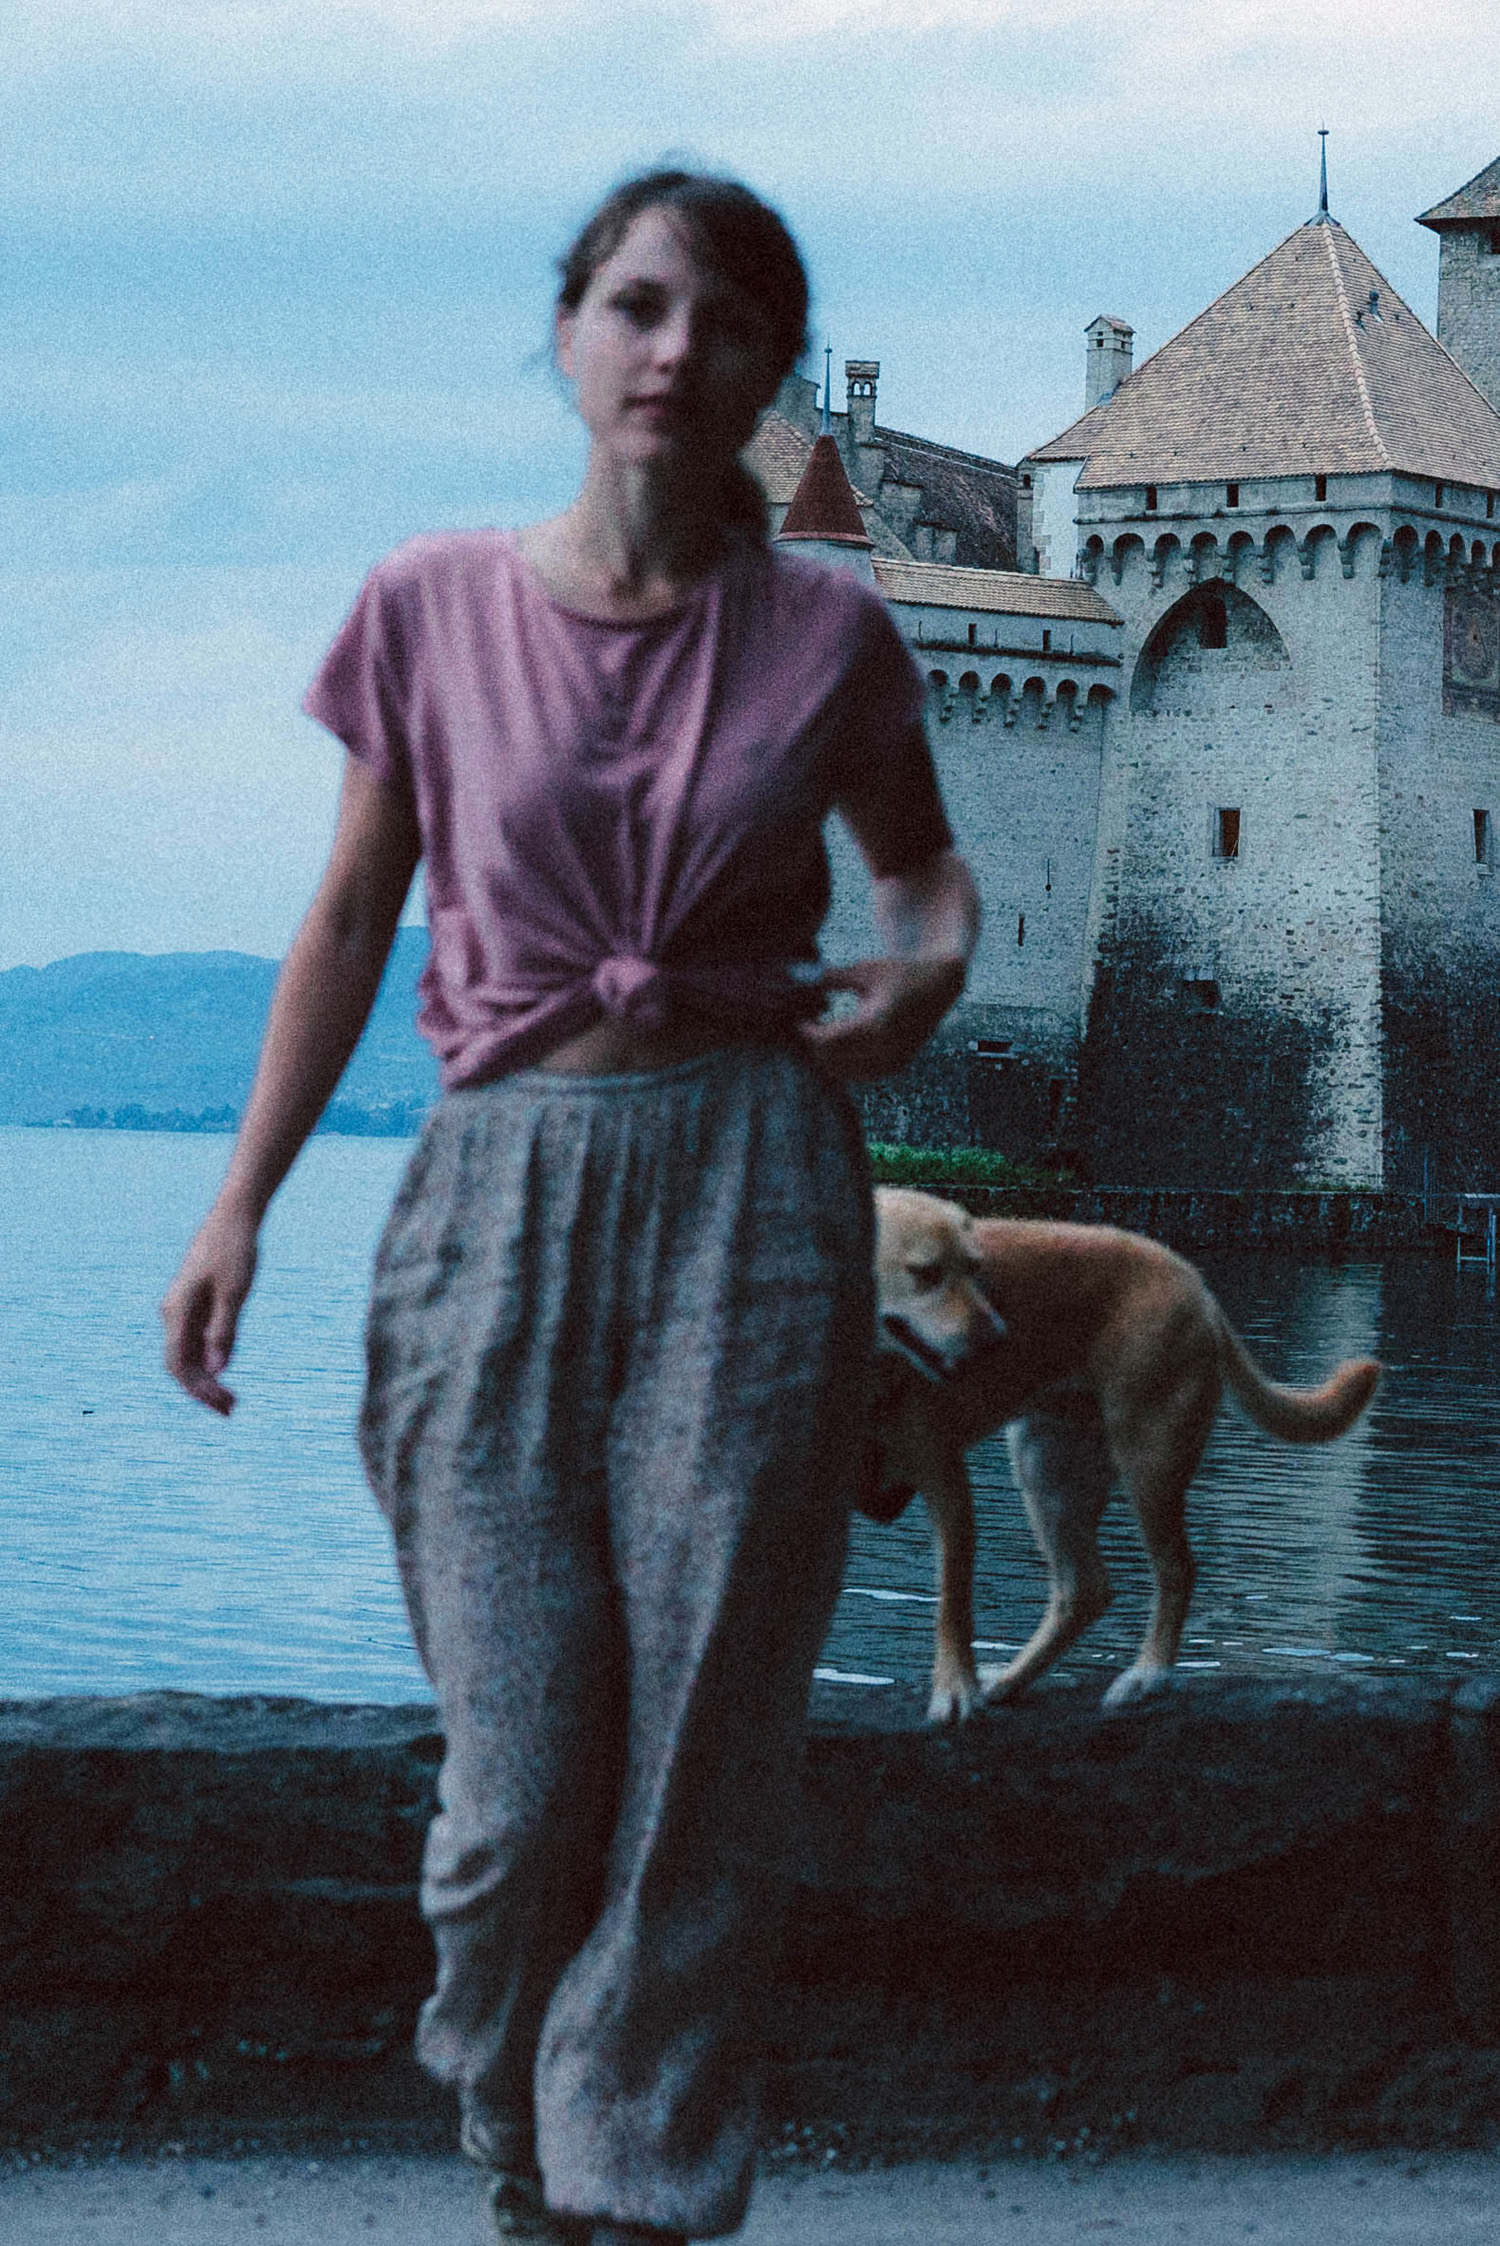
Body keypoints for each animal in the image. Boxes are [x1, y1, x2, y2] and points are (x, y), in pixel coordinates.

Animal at [868, 1187, 1381, 1722]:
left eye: (976, 1269)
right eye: (925, 1273)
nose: (997, 1339)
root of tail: (1196, 1286)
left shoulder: (945, 1478)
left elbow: (951, 1599)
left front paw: (955, 1688)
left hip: (1148, 1458)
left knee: (1175, 1570)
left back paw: (1146, 1676)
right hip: (1049, 1467)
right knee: (1085, 1591)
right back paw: (1012, 1680)